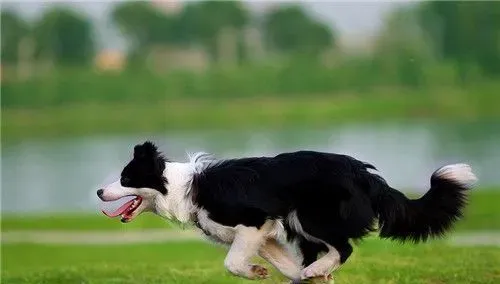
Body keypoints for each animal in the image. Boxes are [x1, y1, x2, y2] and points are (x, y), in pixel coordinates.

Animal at [96, 142, 476, 282]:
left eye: (125, 178)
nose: (99, 191)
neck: (180, 187)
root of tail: (364, 173)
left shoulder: (252, 222)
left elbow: (231, 263)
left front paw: (255, 272)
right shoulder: (263, 236)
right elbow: (285, 266)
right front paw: (291, 276)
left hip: (308, 216)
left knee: (343, 247)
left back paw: (319, 269)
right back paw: (318, 272)